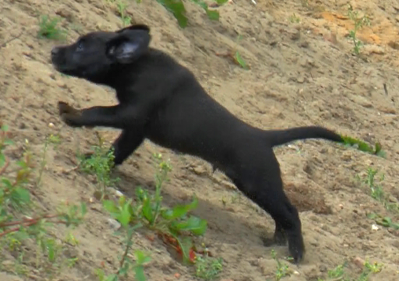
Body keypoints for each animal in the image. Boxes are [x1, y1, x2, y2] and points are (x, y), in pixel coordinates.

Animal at [51, 24, 346, 262]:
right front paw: (95, 162)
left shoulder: (130, 114)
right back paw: (275, 241)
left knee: (291, 212)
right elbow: (117, 151)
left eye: (81, 46)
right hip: (259, 187)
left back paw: (296, 253)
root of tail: (263, 136)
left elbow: (97, 112)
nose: (54, 50)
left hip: (257, 184)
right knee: (281, 215)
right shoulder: (135, 130)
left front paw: (73, 115)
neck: (137, 66)